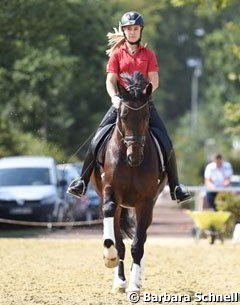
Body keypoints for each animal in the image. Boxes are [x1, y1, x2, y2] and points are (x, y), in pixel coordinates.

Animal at [92, 70, 167, 292]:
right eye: (124, 116)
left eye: (146, 116)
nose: (135, 156)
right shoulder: (111, 192)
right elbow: (116, 237)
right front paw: (110, 259)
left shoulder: (146, 202)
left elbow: (138, 245)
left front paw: (134, 284)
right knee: (118, 236)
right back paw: (119, 279)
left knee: (139, 239)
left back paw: (134, 279)